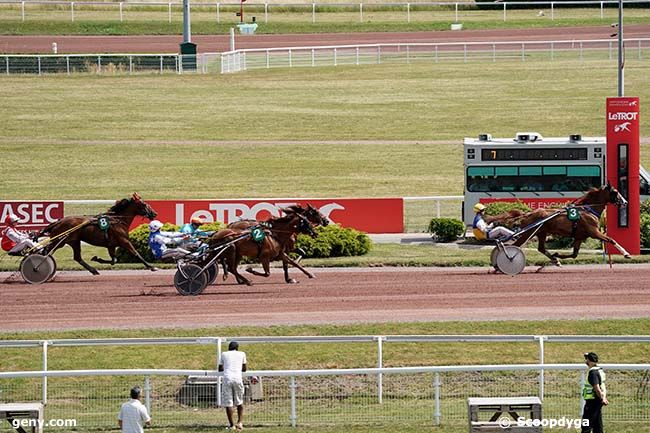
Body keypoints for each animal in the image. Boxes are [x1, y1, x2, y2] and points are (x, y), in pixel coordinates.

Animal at [488, 182, 632, 266]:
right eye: (615, 192)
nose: (625, 202)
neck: (588, 209)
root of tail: (528, 213)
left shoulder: (579, 237)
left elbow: (574, 254)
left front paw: (557, 255)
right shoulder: (594, 232)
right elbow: (611, 239)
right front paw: (626, 253)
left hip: (541, 233)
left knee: (541, 248)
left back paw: (555, 260)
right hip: (529, 233)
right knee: (516, 246)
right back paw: (507, 261)